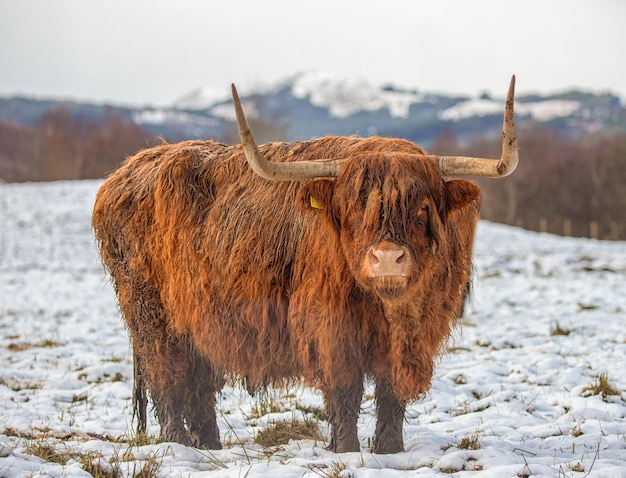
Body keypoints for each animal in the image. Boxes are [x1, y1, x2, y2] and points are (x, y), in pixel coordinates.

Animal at [91, 76, 516, 454]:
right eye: (354, 207)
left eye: (422, 207)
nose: (387, 258)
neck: (389, 310)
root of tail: (125, 172)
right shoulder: (331, 328)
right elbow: (346, 390)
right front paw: (345, 449)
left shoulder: (417, 332)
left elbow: (391, 393)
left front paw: (390, 450)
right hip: (151, 316)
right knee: (167, 377)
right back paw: (178, 445)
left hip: (196, 319)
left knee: (198, 382)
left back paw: (209, 445)